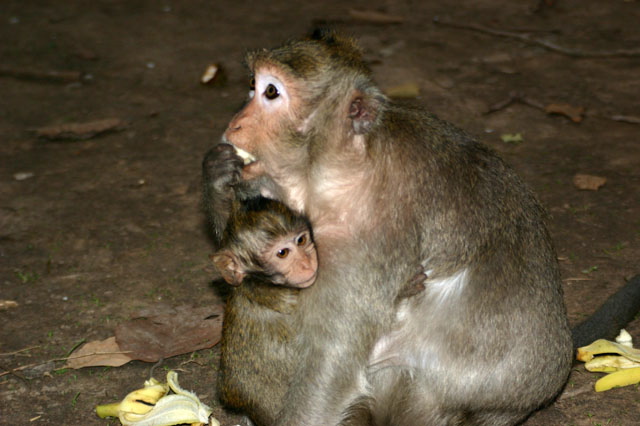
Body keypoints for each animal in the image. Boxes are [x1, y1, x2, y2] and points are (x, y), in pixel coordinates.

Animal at [203, 31, 640, 425]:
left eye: (271, 92)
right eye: (252, 87)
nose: (235, 124)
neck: (345, 166)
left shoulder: (368, 232)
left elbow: (333, 360)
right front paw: (219, 177)